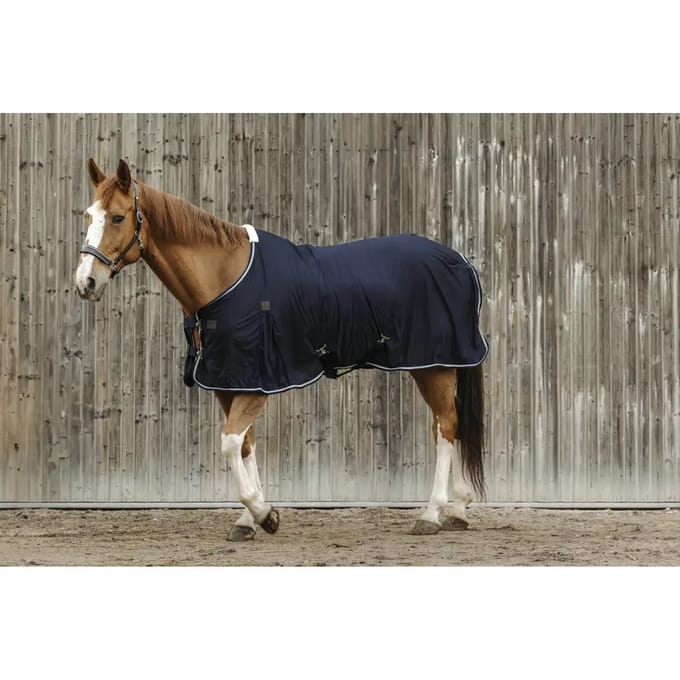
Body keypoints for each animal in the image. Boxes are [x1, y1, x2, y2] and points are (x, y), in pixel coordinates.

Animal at [74, 159, 488, 541]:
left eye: (117, 217)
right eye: (88, 215)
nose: (85, 283)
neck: (224, 279)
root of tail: (459, 261)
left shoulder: (258, 381)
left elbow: (229, 444)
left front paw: (264, 514)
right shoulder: (231, 381)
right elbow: (245, 446)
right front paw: (247, 521)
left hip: (433, 366)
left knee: (446, 426)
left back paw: (432, 514)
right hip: (435, 366)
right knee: (445, 426)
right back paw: (458, 510)